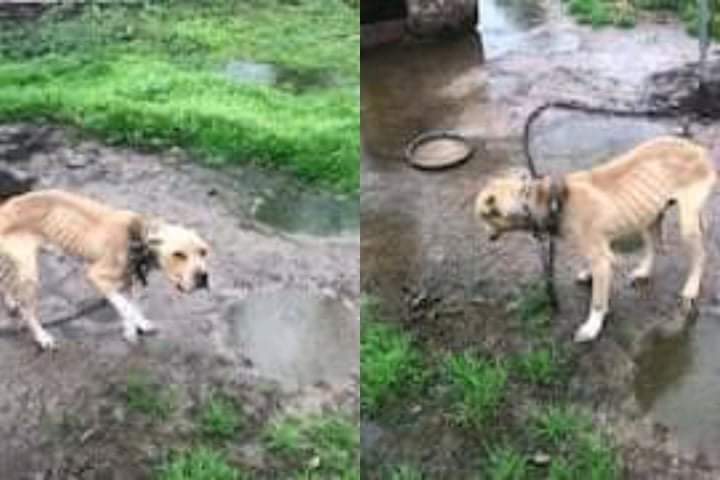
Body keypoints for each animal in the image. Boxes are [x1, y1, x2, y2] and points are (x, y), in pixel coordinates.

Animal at [0, 189, 211, 350]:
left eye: (203, 252)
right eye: (178, 254)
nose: (203, 277)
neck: (136, 238)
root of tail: (5, 207)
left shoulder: (133, 279)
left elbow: (133, 305)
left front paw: (137, 324)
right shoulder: (96, 277)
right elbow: (125, 306)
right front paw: (131, 329)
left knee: (7, 285)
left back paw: (12, 303)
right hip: (29, 273)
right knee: (28, 311)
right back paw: (42, 336)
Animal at [476, 137, 716, 344]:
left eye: (481, 216)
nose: (486, 236)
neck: (552, 200)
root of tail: (698, 149)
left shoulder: (602, 259)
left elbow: (598, 302)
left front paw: (592, 328)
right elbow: (589, 263)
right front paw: (587, 274)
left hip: (688, 224)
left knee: (701, 256)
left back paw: (691, 290)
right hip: (648, 215)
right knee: (653, 246)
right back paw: (643, 272)